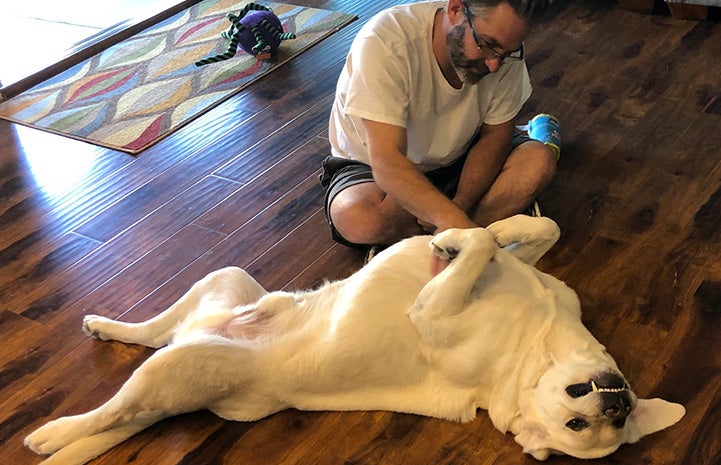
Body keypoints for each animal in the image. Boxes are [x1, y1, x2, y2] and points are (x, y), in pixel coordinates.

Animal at [25, 215, 684, 464]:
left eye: (579, 426)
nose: (614, 405)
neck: (534, 349)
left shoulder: (433, 311)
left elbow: (477, 247)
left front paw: (461, 238)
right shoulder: (538, 278)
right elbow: (530, 232)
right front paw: (486, 230)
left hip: (181, 367)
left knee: (113, 410)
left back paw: (52, 435)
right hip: (224, 283)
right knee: (153, 331)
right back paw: (107, 326)